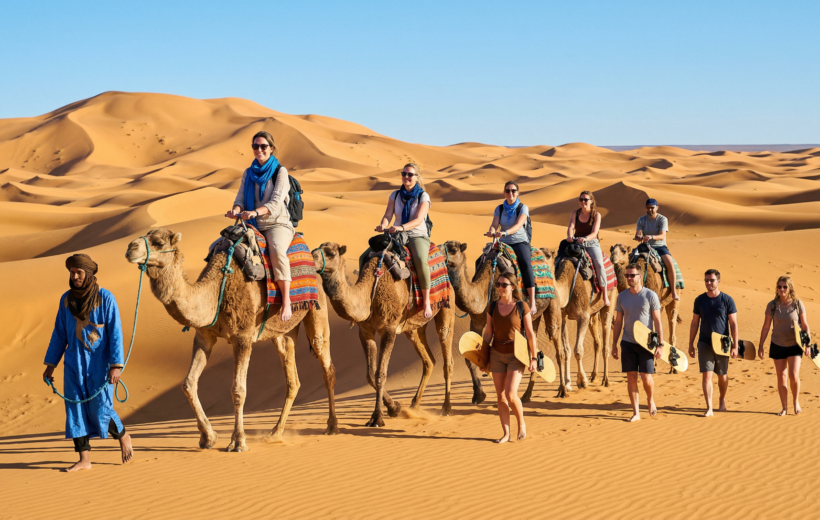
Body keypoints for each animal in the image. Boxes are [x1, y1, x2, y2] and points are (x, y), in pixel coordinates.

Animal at [125, 228, 338, 452]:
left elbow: (238, 390)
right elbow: (188, 383)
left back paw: (331, 426)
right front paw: (208, 437)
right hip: (283, 332)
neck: (214, 290)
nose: (131, 247)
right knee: (292, 379)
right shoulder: (204, 336)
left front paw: (238, 441)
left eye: (158, 242)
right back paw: (275, 432)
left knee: (326, 366)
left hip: (317, 311)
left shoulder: (242, 337)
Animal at [312, 242, 455, 427]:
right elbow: (370, 375)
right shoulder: (365, 331)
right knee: (429, 360)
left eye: (331, 253)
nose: (311, 257)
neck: (368, 295)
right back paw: (414, 405)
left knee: (447, 354)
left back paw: (447, 408)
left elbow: (380, 374)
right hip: (414, 326)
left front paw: (377, 417)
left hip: (446, 306)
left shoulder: (389, 329)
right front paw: (395, 408)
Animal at [441, 240, 564, 401]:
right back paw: (526, 395)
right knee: (533, 345)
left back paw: (562, 390)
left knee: (557, 343)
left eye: (454, 250)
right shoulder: (476, 321)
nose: (437, 253)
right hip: (533, 317)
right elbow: (469, 357)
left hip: (553, 300)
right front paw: (478, 394)